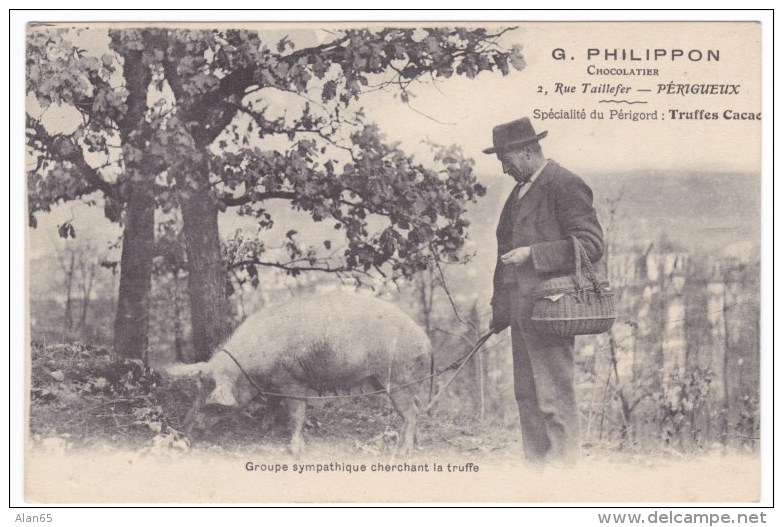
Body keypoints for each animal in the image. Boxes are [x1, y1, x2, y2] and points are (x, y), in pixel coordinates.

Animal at [167, 292, 434, 458]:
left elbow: (296, 414)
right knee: (417, 408)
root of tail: (426, 339)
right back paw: (416, 444)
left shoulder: (293, 381)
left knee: (411, 413)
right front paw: (265, 429)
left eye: (215, 405)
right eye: (198, 389)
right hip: (403, 381)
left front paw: (295, 451)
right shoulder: (274, 383)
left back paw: (401, 453)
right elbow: (272, 403)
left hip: (398, 380)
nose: (185, 429)